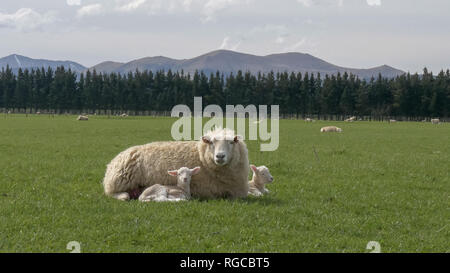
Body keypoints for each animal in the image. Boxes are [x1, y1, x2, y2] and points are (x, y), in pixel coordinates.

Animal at [102, 126, 250, 200]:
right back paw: (123, 196)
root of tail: (111, 163)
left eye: (231, 142)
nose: (220, 156)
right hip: (117, 182)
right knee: (112, 193)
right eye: (211, 143)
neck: (202, 158)